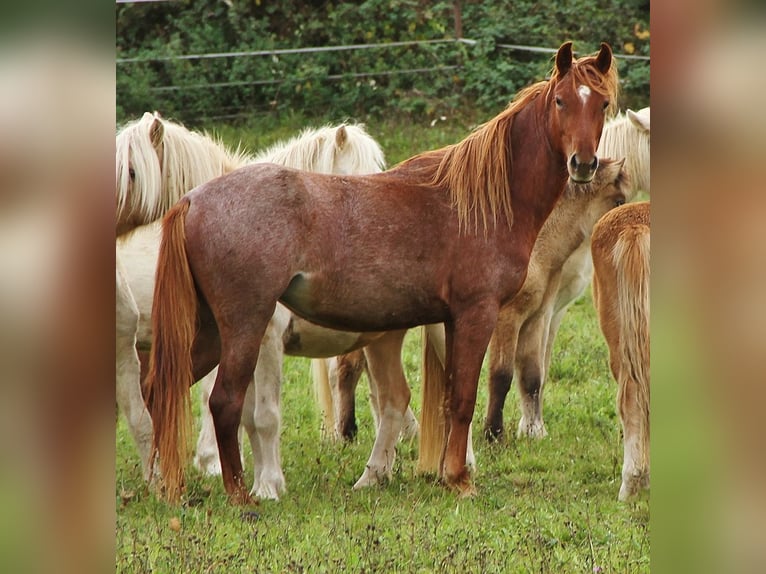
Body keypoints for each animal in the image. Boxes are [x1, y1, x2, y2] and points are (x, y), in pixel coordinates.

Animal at [415, 158, 632, 471]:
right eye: (618, 201)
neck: (537, 249)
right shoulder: (508, 320)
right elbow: (501, 375)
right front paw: (494, 434)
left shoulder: (536, 319)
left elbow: (532, 377)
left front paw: (532, 432)